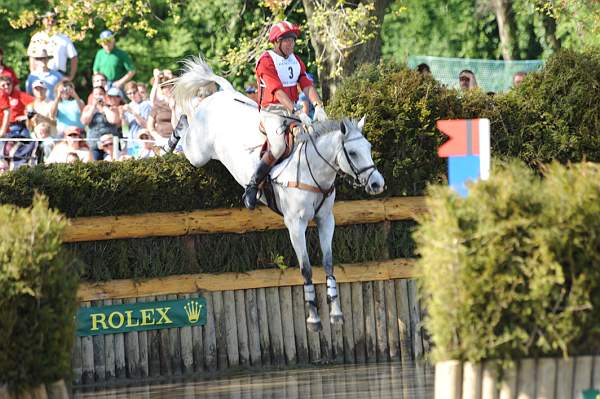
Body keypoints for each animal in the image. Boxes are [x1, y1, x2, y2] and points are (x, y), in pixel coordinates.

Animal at [170, 57, 384, 332]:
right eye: (354, 153)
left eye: (369, 147)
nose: (377, 183)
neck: (314, 170)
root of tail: (221, 95)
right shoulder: (295, 224)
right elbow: (306, 269)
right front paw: (314, 318)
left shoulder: (326, 220)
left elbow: (328, 263)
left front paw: (336, 313)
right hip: (198, 153)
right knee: (185, 124)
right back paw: (171, 139)